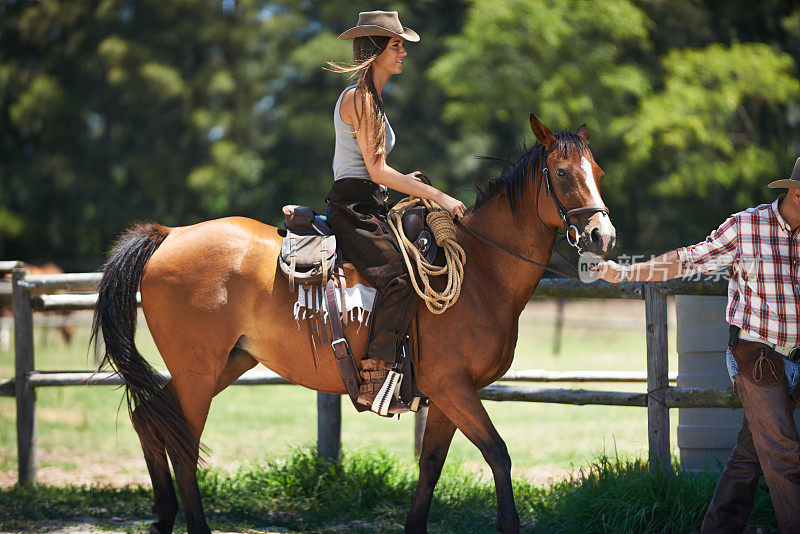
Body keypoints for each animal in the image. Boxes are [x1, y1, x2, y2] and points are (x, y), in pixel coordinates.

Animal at [94, 115, 620, 532]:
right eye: (561, 173)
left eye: (597, 172)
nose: (602, 235)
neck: (481, 270)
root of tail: (169, 235)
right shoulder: (453, 387)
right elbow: (498, 454)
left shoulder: (447, 395)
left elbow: (431, 466)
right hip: (197, 372)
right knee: (181, 441)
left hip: (226, 363)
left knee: (150, 419)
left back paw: (163, 516)